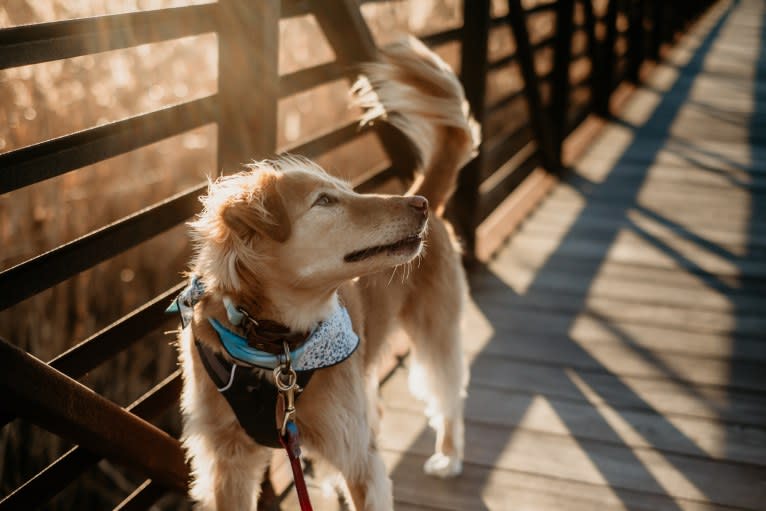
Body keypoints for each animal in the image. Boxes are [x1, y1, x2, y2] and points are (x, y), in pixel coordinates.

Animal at [176, 37, 480, 511]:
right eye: (325, 202)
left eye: (347, 192)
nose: (420, 207)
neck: (274, 347)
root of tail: (423, 185)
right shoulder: (228, 464)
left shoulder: (357, 456)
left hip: (437, 328)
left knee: (447, 392)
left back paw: (448, 454)